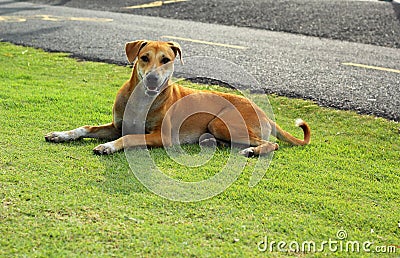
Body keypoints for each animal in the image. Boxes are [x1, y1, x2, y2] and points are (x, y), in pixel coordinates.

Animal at [45, 40, 310, 156]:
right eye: (144, 57)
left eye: (166, 60)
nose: (152, 79)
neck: (142, 100)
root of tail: (264, 112)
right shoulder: (115, 125)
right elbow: (85, 128)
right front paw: (61, 134)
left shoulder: (159, 136)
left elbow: (129, 138)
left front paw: (108, 146)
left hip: (221, 122)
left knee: (271, 144)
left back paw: (253, 151)